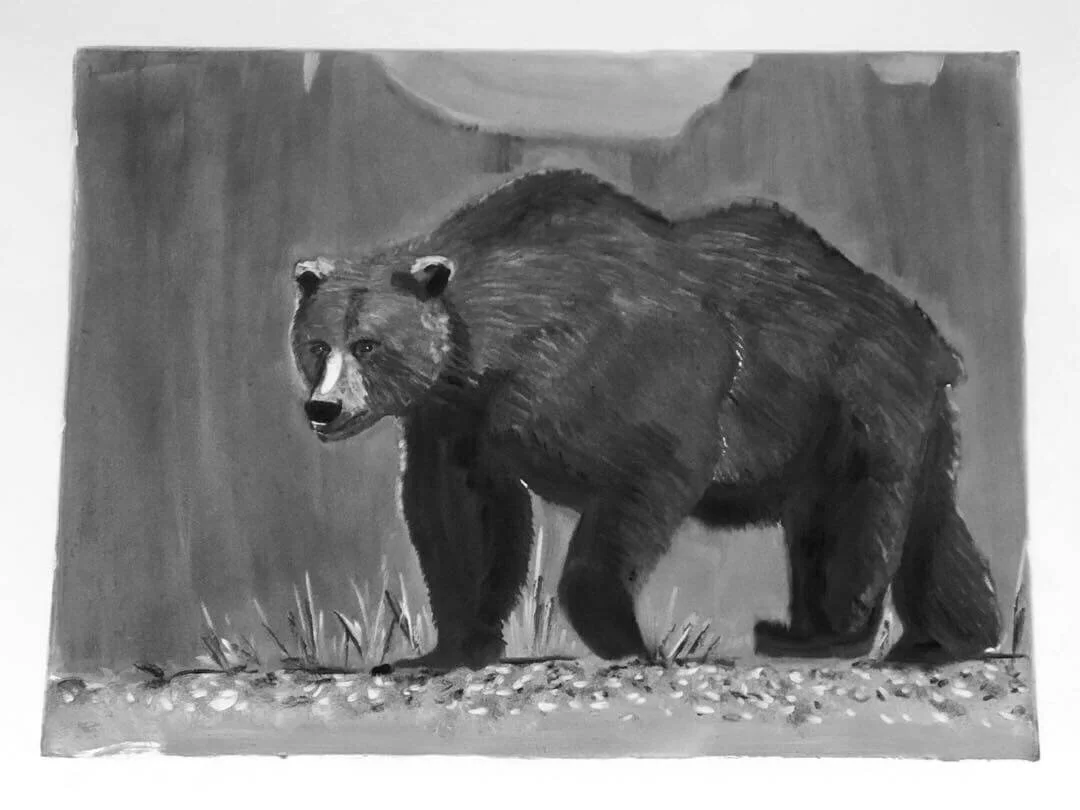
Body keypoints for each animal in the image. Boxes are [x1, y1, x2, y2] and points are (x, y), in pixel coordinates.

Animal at [289, 168, 1001, 671]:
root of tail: (923, 331)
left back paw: (815, 636)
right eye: (318, 344)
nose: (324, 407)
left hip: (854, 392)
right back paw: (948, 637)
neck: (498, 348)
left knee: (856, 514)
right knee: (928, 522)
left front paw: (627, 636)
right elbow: (465, 517)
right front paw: (448, 648)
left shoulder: (630, 370)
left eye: (368, 345)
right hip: (896, 418)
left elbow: (646, 473)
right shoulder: (453, 419)